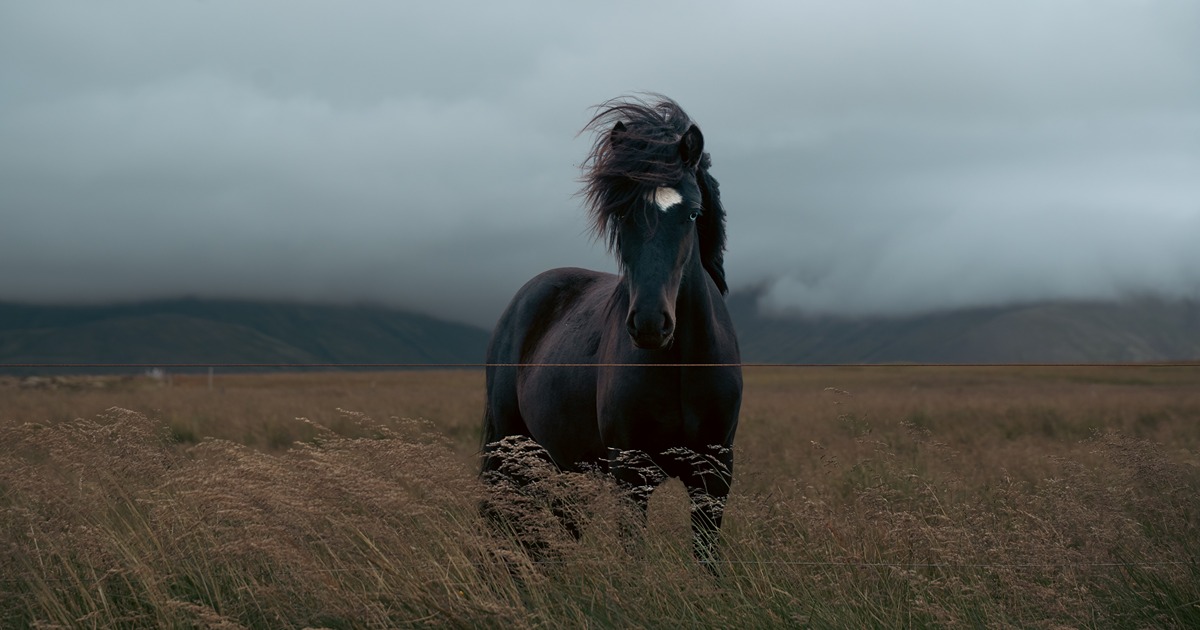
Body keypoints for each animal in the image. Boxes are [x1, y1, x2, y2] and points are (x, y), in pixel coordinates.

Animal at [480, 95, 742, 566]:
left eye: (692, 213)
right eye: (621, 214)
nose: (651, 324)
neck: (679, 366)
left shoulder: (714, 475)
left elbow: (707, 561)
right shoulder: (630, 475)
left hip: (563, 464)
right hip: (512, 450)